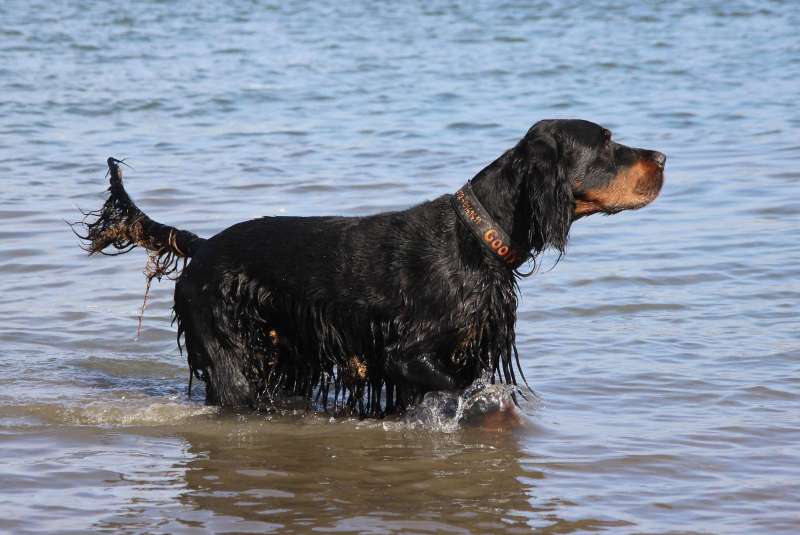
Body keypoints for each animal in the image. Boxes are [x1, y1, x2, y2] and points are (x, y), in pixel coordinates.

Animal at [76, 119, 664, 416]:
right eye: (606, 143)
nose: (662, 158)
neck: (479, 235)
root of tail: (201, 248)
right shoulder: (405, 353)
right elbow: (465, 386)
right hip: (231, 355)